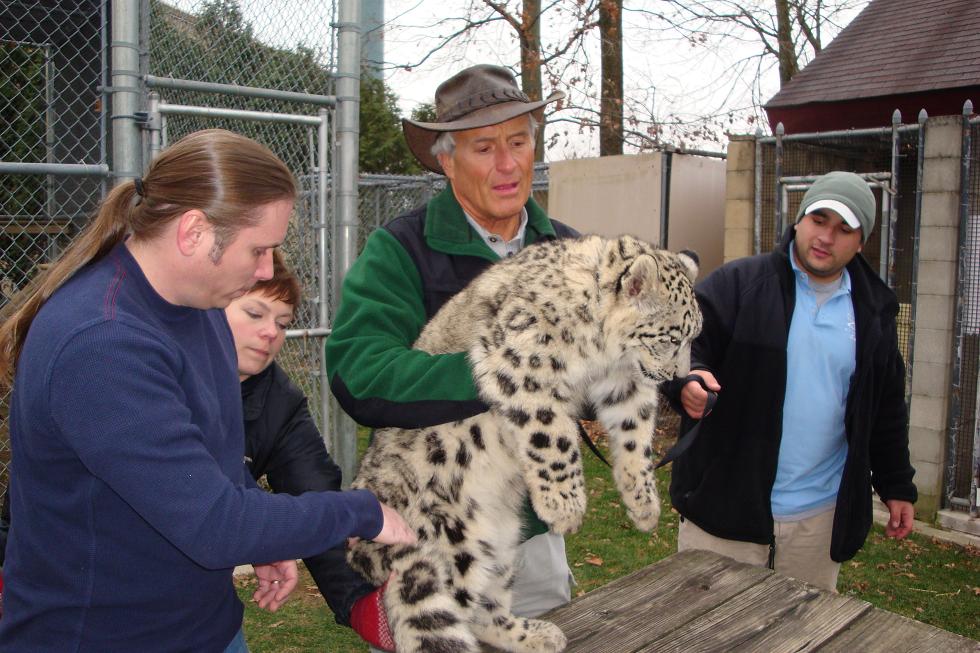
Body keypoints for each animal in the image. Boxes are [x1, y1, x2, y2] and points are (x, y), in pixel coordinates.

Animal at [348, 234, 702, 653]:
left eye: (691, 337)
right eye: (671, 338)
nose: (676, 376)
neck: (603, 352)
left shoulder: (623, 384)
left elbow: (636, 434)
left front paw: (643, 503)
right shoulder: (527, 367)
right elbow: (553, 437)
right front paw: (565, 507)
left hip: (499, 545)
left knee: (483, 608)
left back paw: (536, 634)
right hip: (453, 540)